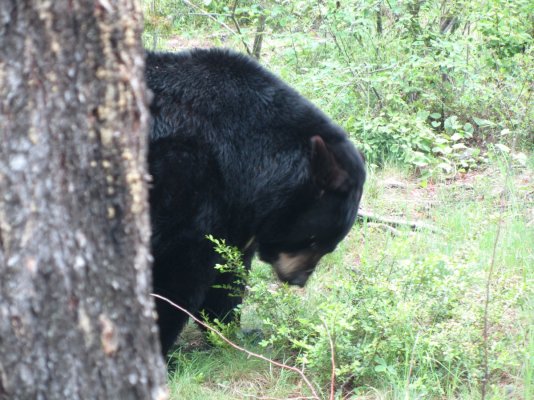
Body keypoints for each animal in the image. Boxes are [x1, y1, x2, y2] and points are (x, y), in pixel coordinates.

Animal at [144, 48, 366, 354]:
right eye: (313, 241)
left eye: (328, 246)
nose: (299, 280)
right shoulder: (188, 183)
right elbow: (177, 271)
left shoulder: (234, 212)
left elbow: (228, 273)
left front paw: (234, 332)